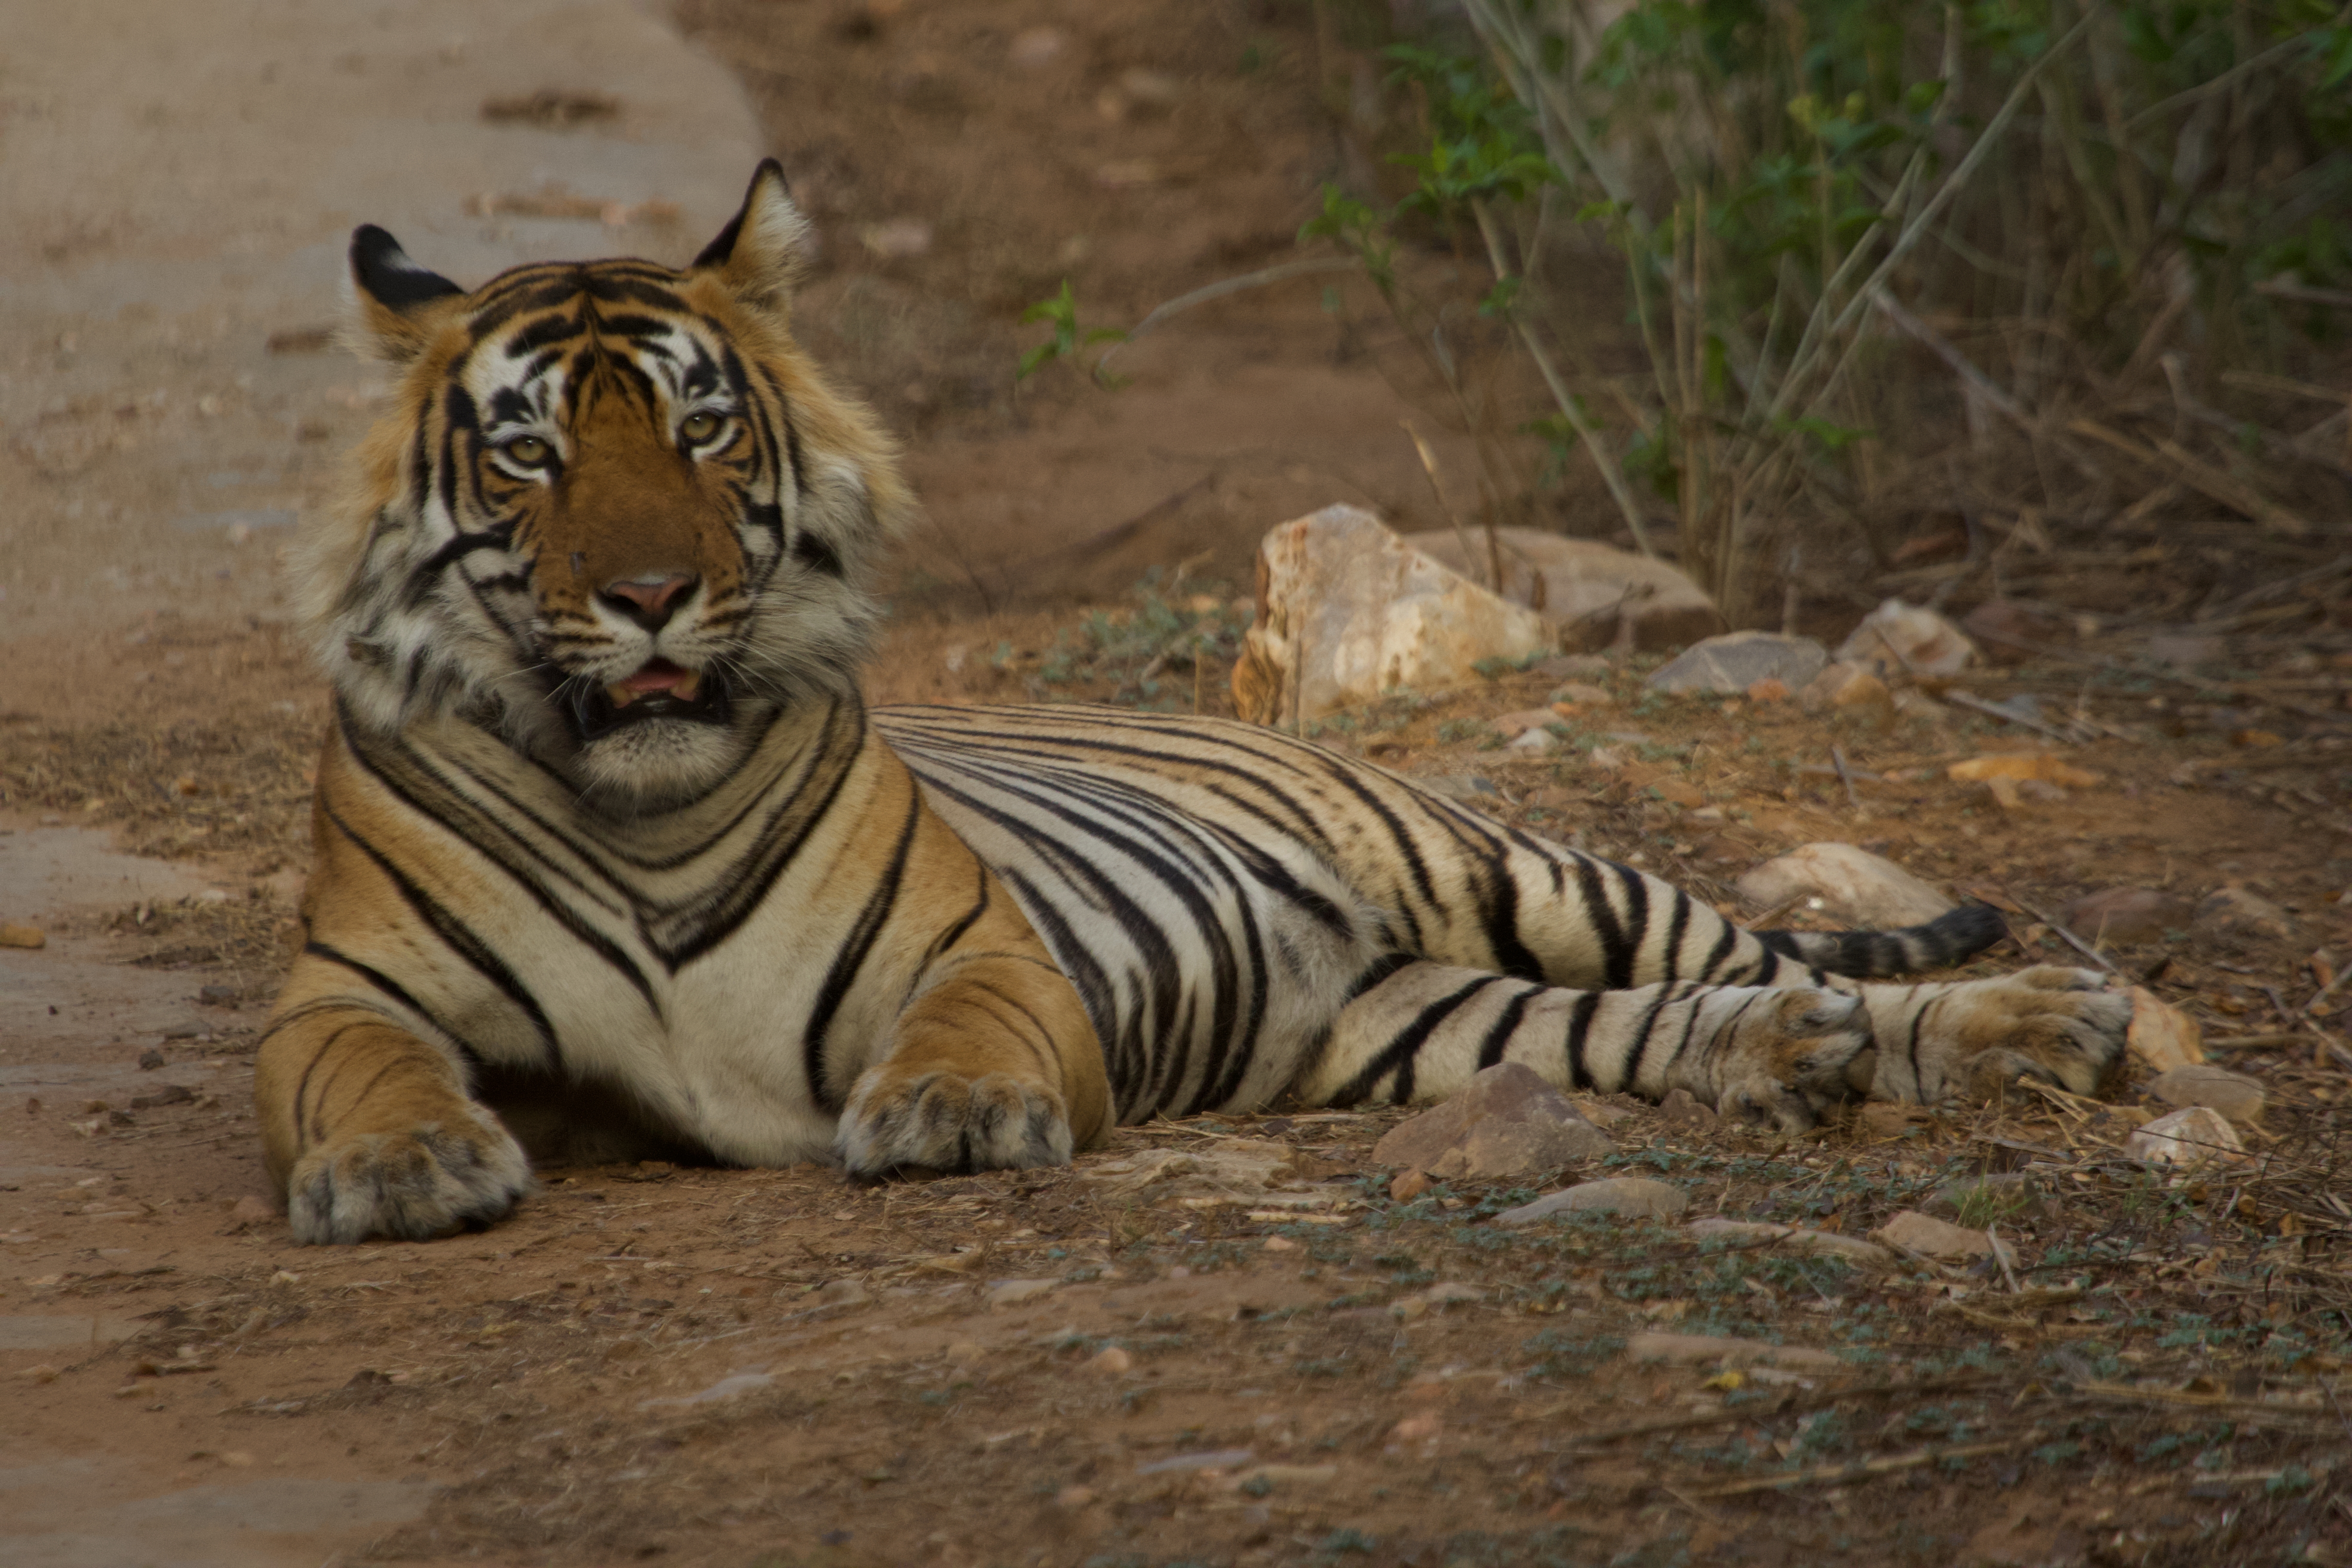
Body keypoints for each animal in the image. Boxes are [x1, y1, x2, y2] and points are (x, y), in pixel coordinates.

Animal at [259, 161, 2133, 1244]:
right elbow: (363, 1066)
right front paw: (405, 1168)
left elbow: (967, 1026)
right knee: (1666, 1024)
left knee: (1779, 960)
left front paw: (948, 1117)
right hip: (1416, 1022)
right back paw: (1797, 1057)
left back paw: (2050, 1019)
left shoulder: (985, 948)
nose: (650, 594)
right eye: (530, 453)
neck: (642, 797)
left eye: (702, 428)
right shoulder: (342, 988)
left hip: (1525, 872)